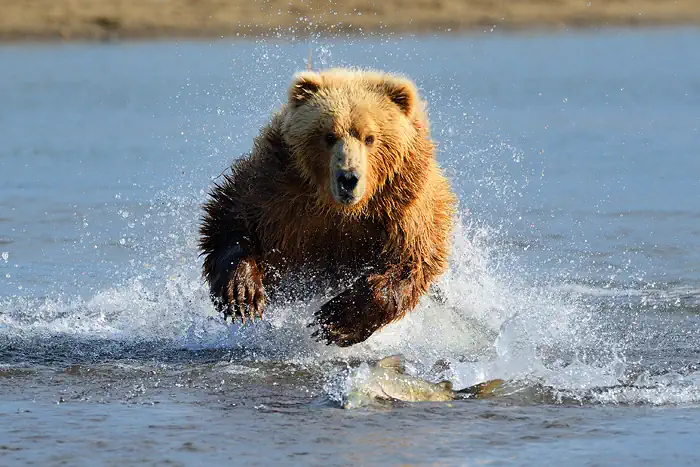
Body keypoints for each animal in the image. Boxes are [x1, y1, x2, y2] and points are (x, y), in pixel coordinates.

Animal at [200, 67, 456, 346]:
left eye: (370, 137)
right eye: (329, 135)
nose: (348, 178)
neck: (340, 209)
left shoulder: (402, 208)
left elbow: (409, 262)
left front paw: (335, 320)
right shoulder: (277, 188)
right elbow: (232, 219)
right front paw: (243, 293)